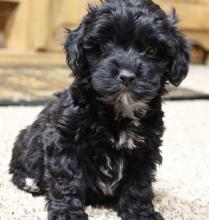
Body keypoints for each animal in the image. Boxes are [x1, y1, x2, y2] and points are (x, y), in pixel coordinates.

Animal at [9, 0, 189, 219]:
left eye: (152, 51)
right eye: (104, 45)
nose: (127, 76)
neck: (117, 110)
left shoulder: (146, 148)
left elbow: (138, 184)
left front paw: (140, 212)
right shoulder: (64, 139)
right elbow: (66, 177)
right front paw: (68, 212)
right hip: (25, 142)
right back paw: (30, 182)